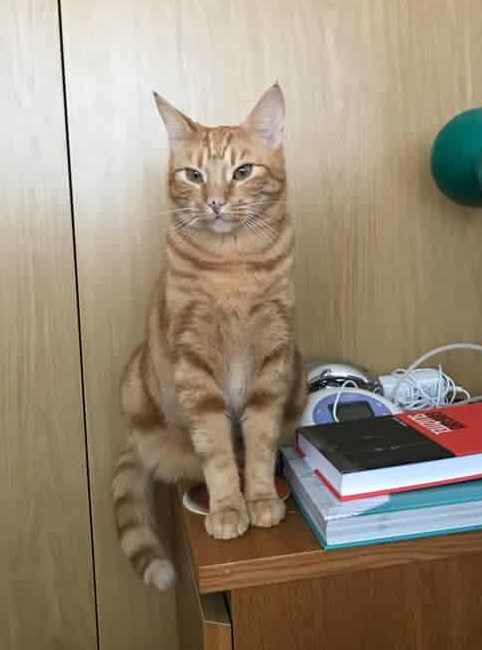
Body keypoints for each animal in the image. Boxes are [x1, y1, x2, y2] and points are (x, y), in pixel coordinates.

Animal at [112, 85, 306, 588]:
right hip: (135, 381)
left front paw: (260, 498)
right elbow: (217, 450)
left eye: (243, 171)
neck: (232, 263)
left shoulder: (273, 359)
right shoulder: (195, 369)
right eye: (194, 175)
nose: (216, 201)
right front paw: (228, 507)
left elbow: (258, 443)